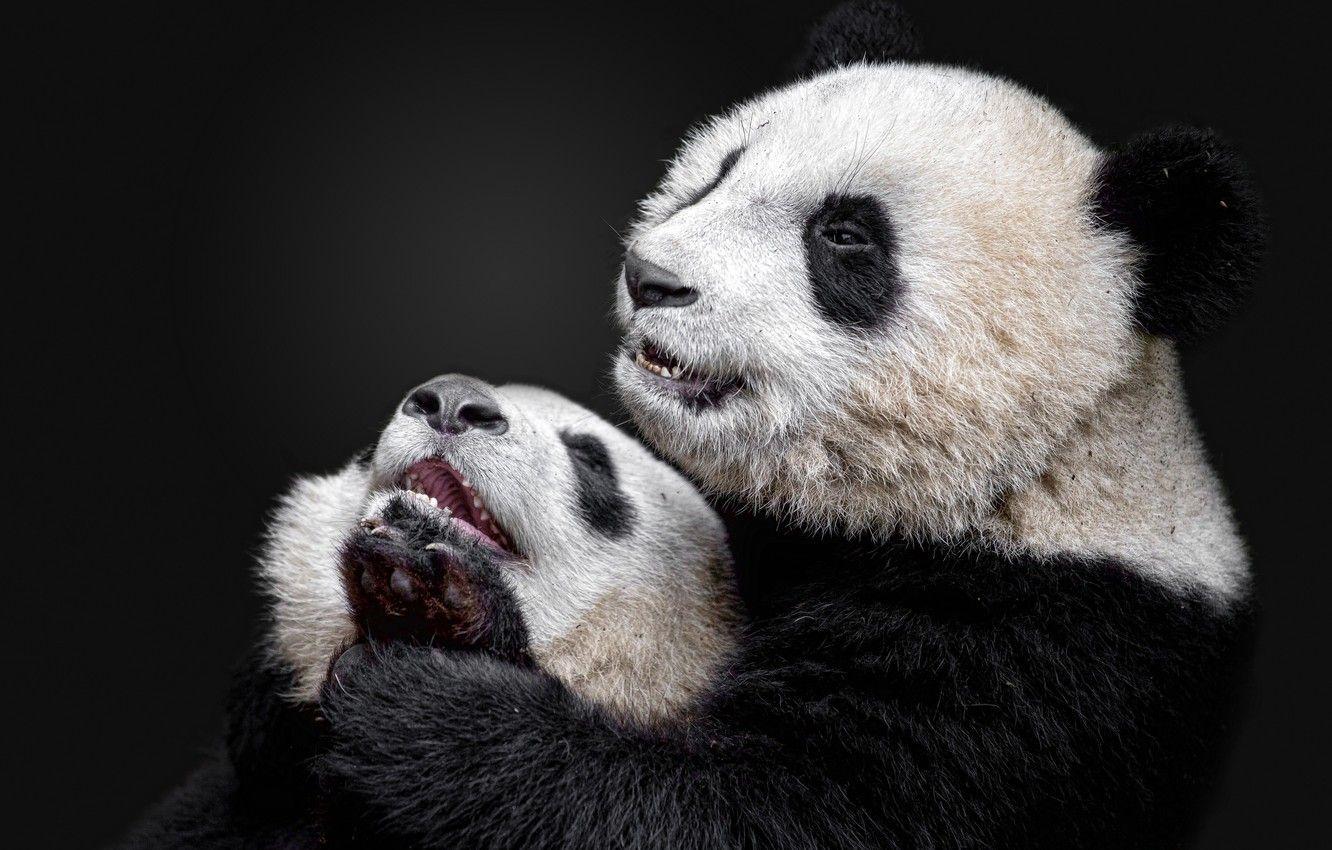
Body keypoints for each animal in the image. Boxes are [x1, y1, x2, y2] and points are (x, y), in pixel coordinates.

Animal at [306, 3, 1264, 849]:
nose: (651, 277)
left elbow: (763, 812)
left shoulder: (1038, 655)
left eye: (844, 237)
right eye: (720, 172)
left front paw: (426, 679)